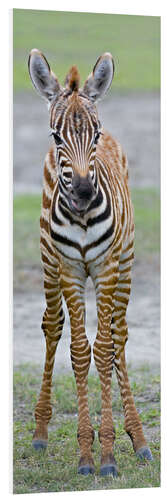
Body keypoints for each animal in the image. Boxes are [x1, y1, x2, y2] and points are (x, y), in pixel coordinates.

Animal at [27, 49, 153, 476]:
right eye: (56, 136)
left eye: (94, 136)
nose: (82, 192)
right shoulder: (68, 269)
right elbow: (81, 351)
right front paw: (87, 452)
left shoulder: (107, 268)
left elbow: (104, 348)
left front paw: (109, 451)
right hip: (49, 263)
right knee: (53, 327)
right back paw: (40, 432)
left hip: (125, 263)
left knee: (119, 334)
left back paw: (140, 438)